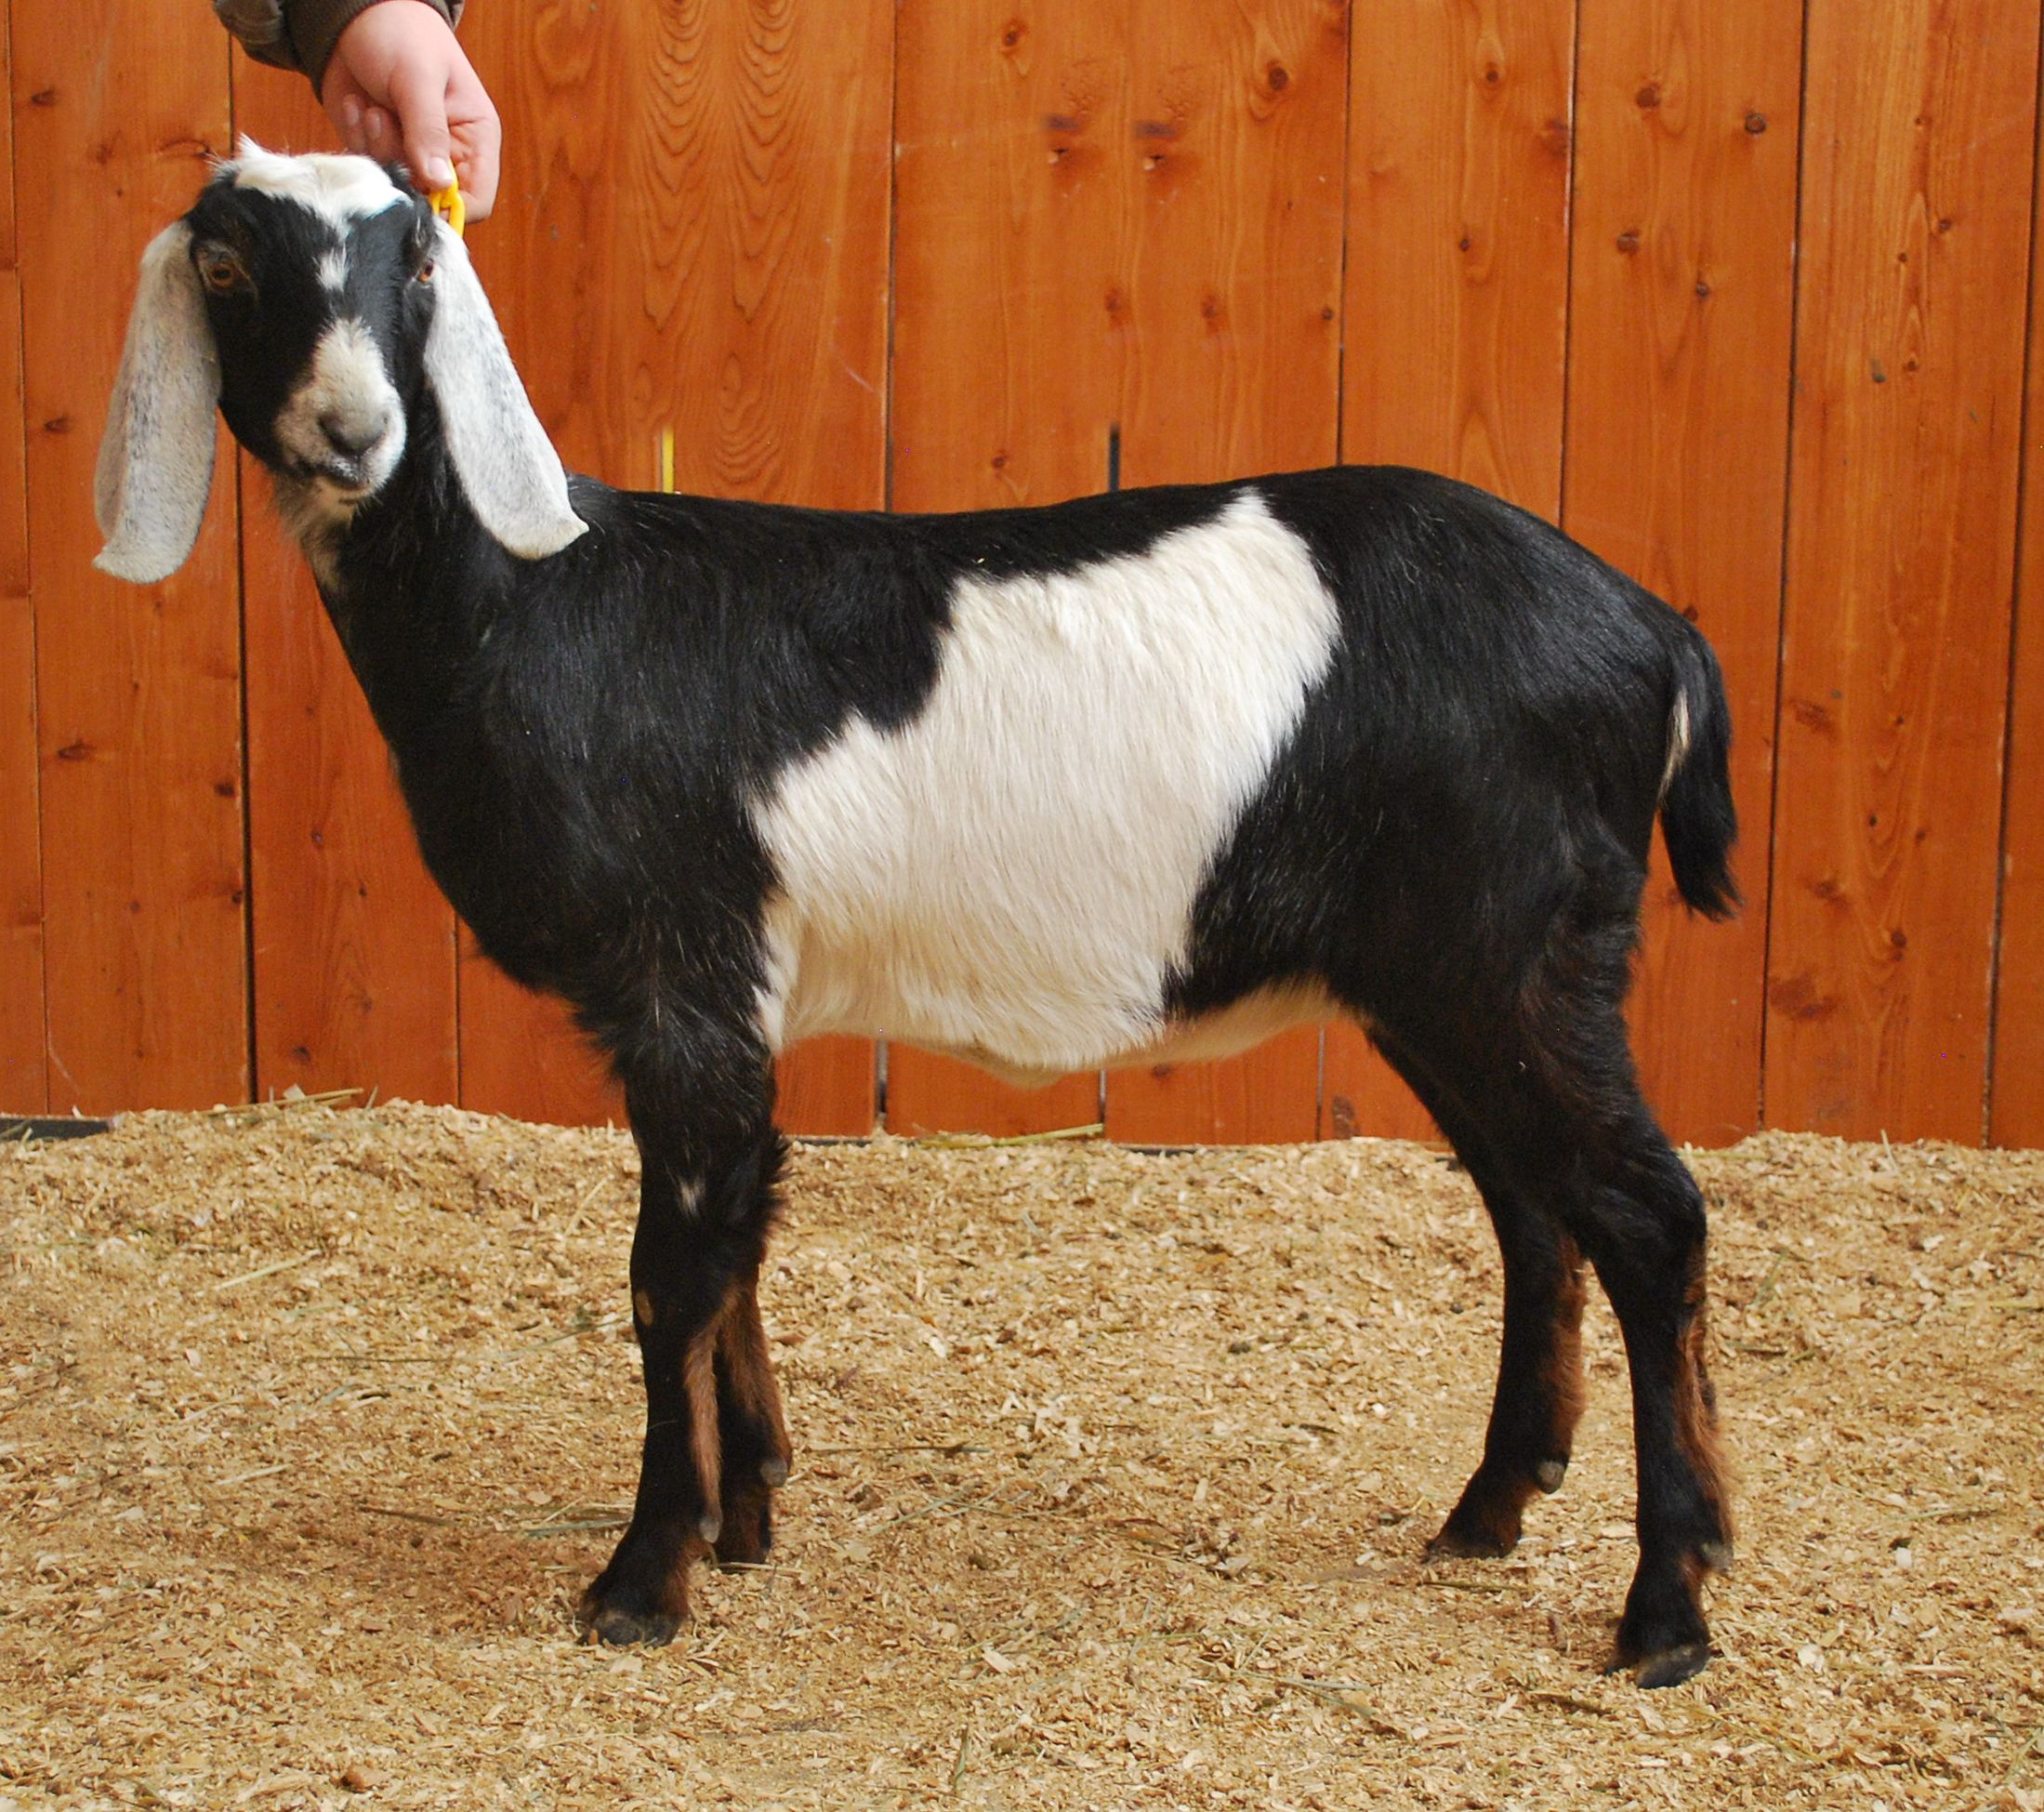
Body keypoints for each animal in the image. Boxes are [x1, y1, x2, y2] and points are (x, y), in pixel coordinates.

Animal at [97, 146, 1740, 1687]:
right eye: (230, 268)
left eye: (419, 265)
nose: (353, 432)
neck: (542, 608)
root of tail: (1653, 630)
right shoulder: (722, 1006)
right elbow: (735, 1244)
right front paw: (747, 1507)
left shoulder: (685, 974)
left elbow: (669, 1275)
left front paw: (642, 1578)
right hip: (1449, 975)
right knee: (1532, 1207)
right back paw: (1490, 1507)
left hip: (1513, 953)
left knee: (1645, 1214)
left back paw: (1665, 1605)